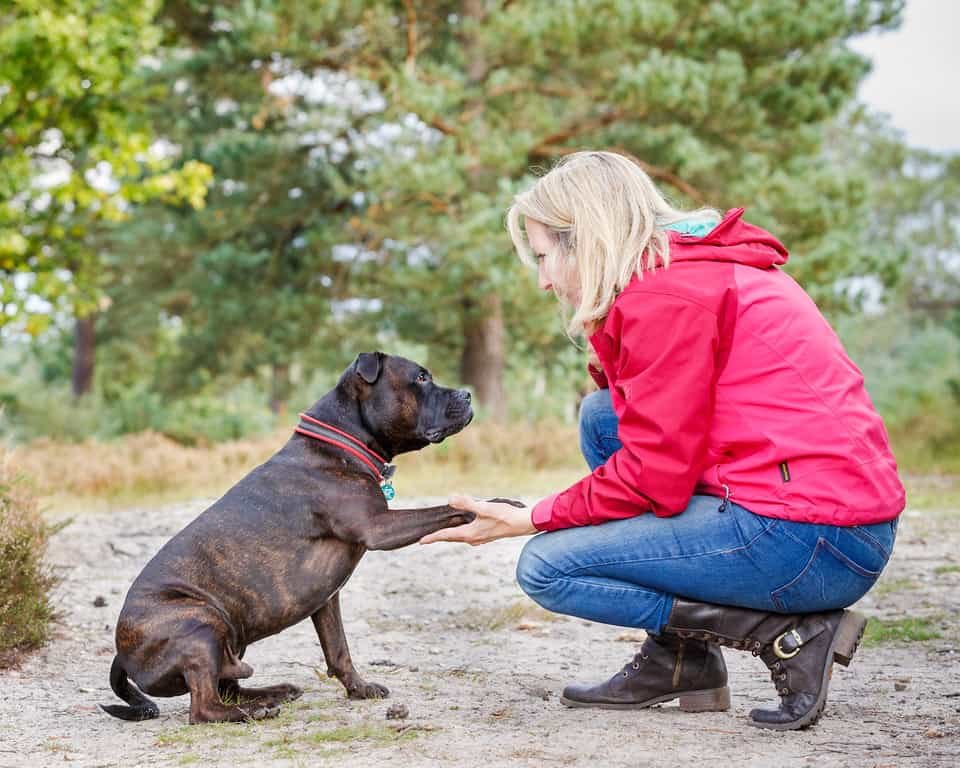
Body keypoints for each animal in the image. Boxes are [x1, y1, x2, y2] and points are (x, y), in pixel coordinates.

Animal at [104, 354, 476, 728]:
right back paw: (257, 709)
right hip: (201, 625)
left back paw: (275, 693)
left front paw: (359, 689)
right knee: (204, 707)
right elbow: (445, 509)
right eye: (421, 378)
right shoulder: (380, 527)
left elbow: (338, 649)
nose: (467, 394)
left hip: (230, 633)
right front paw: (487, 507)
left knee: (228, 688)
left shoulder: (326, 598)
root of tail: (122, 653)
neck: (341, 440)